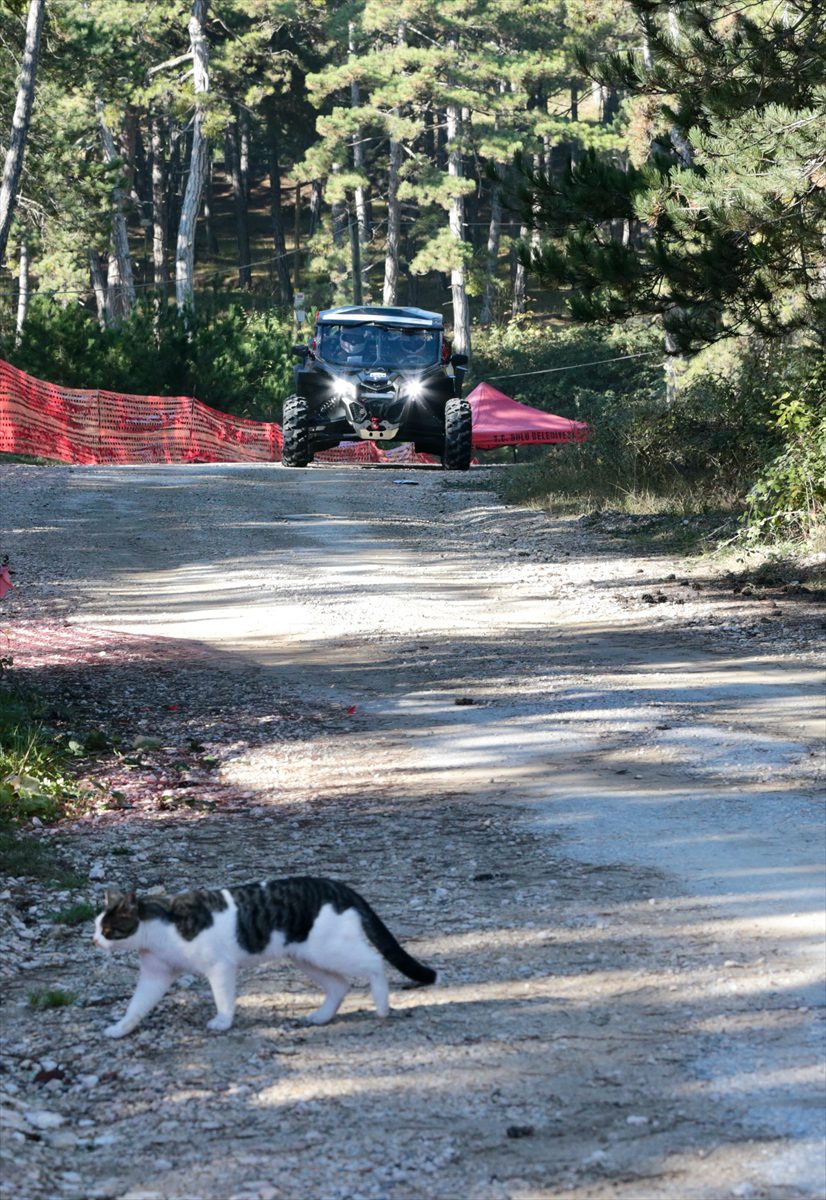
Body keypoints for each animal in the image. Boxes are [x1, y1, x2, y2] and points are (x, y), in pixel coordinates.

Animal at [93, 873, 434, 1041]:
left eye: (108, 929)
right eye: (96, 926)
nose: (93, 939)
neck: (157, 932)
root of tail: (338, 886)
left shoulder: (219, 967)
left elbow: (224, 998)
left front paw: (223, 1022)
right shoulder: (156, 975)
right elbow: (136, 1007)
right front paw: (121, 1029)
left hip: (328, 949)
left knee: (374, 963)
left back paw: (382, 1006)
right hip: (306, 957)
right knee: (340, 985)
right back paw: (322, 1017)